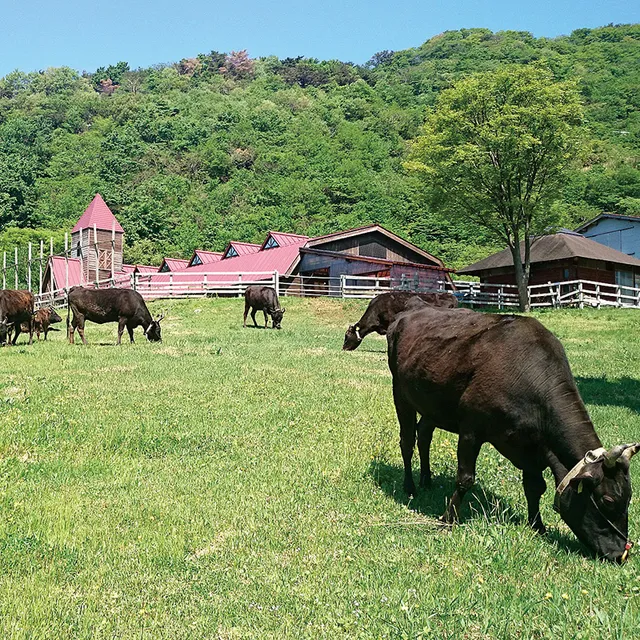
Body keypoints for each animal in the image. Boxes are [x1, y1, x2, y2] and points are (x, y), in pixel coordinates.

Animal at [388, 304, 636, 560]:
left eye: (629, 498)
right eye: (608, 500)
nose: (621, 553)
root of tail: (410, 311)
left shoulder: (533, 446)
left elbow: (535, 487)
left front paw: (538, 526)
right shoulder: (470, 430)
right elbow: (465, 479)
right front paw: (448, 519)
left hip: (432, 405)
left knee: (424, 435)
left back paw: (426, 480)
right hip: (401, 392)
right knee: (407, 441)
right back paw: (410, 487)